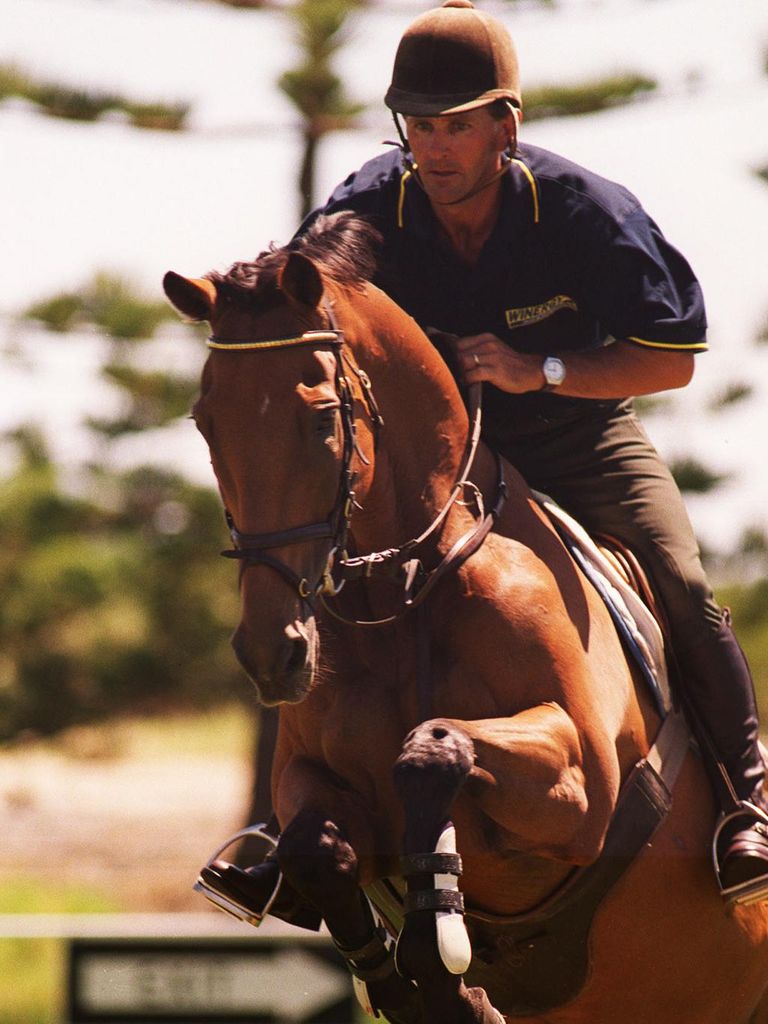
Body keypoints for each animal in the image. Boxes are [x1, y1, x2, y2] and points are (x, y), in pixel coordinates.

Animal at [165, 211, 768, 1019]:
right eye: (206, 424)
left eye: (322, 420)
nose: (273, 654)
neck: (405, 591)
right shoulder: (303, 774)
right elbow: (315, 847)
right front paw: (418, 981)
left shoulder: (585, 786)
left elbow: (432, 747)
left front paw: (438, 941)